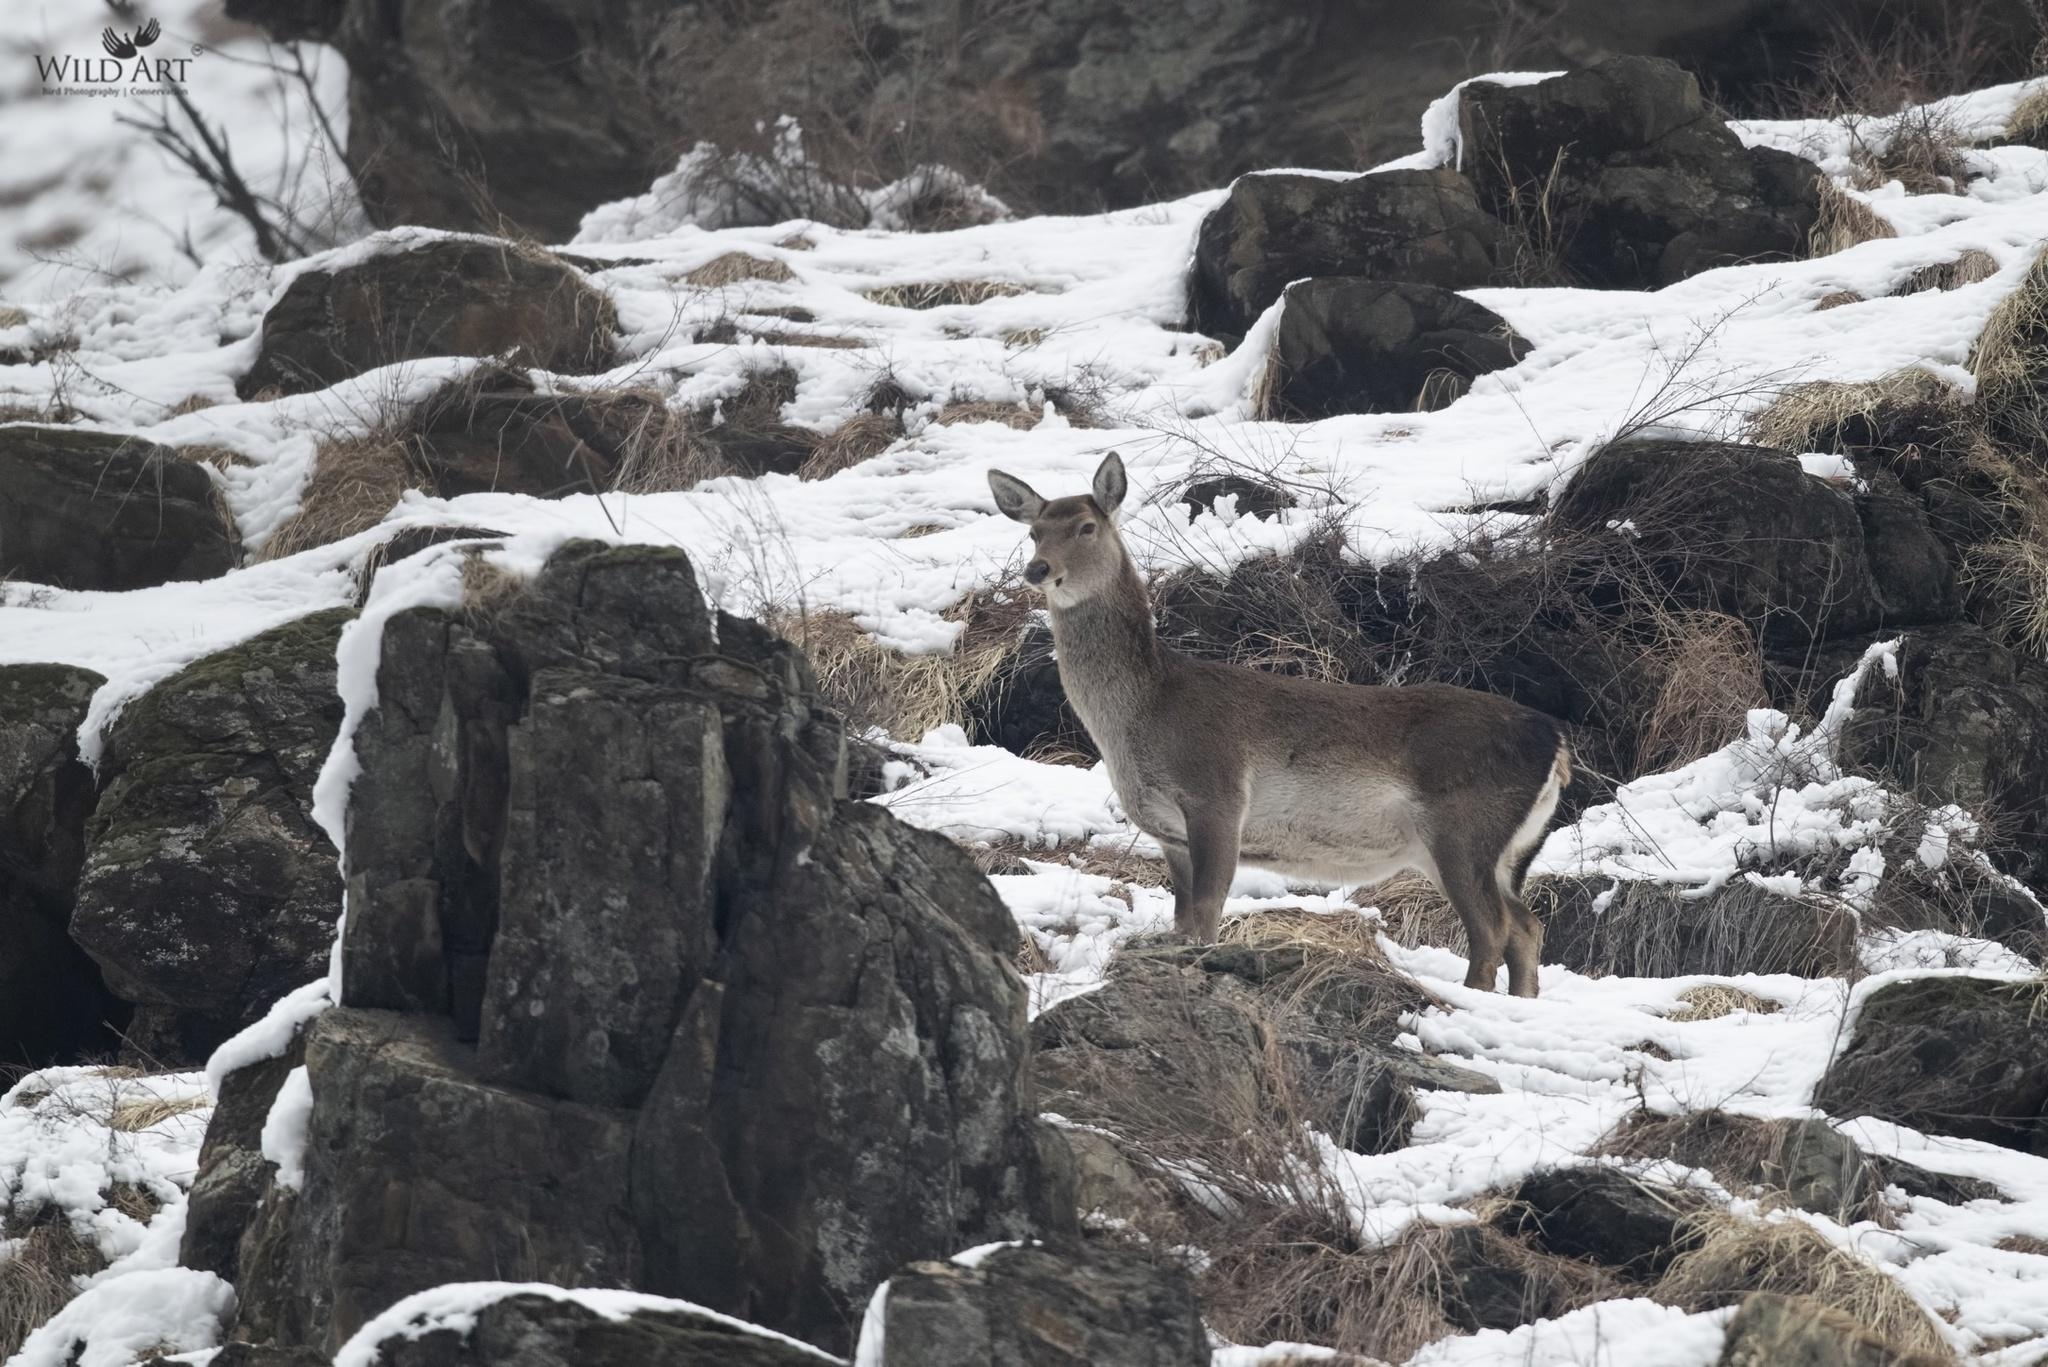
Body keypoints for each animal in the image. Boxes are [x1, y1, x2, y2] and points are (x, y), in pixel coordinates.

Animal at [986, 453, 1572, 996]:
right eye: (1035, 531)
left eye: (1087, 526)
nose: (1037, 569)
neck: (1141, 719)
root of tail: (1558, 743)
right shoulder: (1169, 832)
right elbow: (1183, 918)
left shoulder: (1218, 795)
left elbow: (1207, 913)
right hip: (1495, 849)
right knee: (1526, 926)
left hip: (1464, 826)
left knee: (1493, 929)